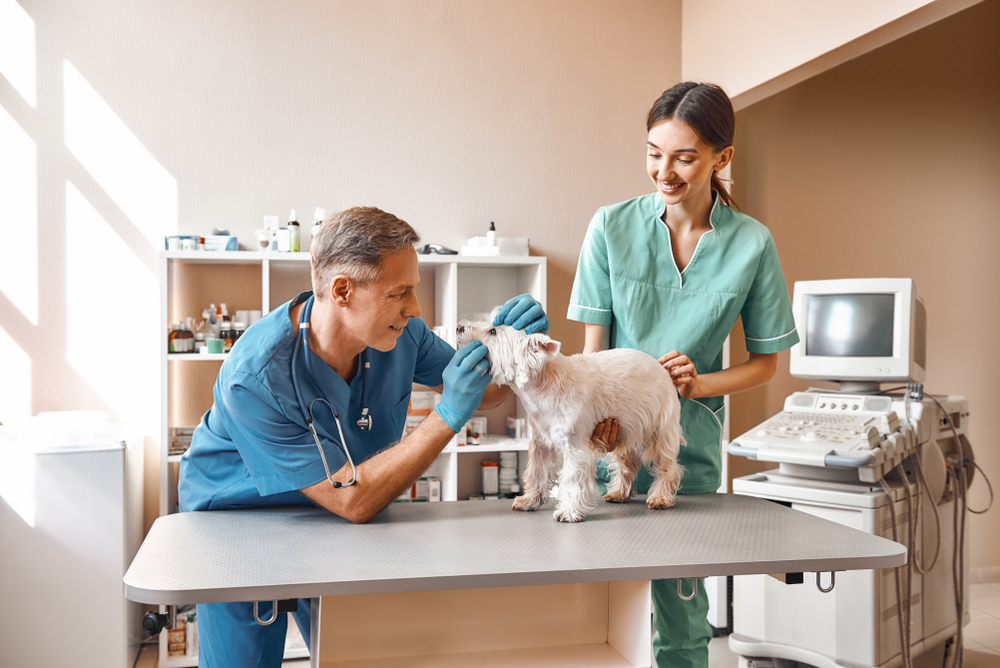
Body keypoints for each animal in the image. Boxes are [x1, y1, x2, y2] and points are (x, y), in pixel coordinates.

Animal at [460, 310, 688, 524]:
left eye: (493, 331)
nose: (459, 327)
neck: (542, 387)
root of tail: (663, 367)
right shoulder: (541, 442)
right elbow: (536, 472)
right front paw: (529, 500)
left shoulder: (575, 446)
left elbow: (571, 480)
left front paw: (568, 512)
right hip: (624, 428)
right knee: (628, 462)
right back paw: (618, 493)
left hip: (662, 428)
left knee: (667, 465)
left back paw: (660, 498)